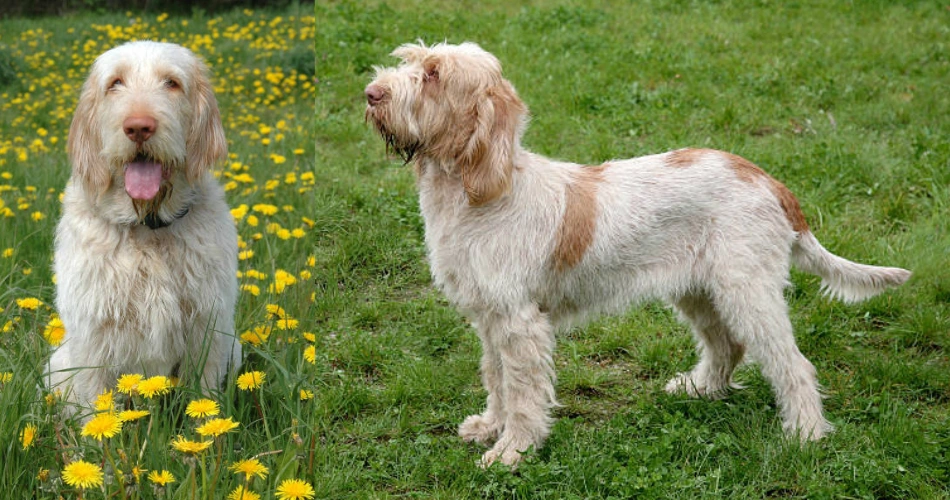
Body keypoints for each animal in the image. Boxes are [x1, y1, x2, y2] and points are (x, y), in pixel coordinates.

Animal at [48, 40, 242, 414]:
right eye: (115, 83)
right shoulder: (92, 337)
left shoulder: (209, 327)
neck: (146, 229)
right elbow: (97, 409)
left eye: (171, 83)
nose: (139, 127)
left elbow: (205, 398)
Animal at [366, 42, 916, 464]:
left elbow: (523, 394)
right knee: (727, 346)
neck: (478, 194)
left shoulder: (520, 323)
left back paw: (806, 434)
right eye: (410, 61)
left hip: (748, 293)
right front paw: (489, 427)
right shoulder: (489, 318)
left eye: (433, 75)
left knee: (792, 365)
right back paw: (700, 389)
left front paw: (512, 452)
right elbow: (496, 379)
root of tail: (768, 180)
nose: (371, 94)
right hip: (699, 291)